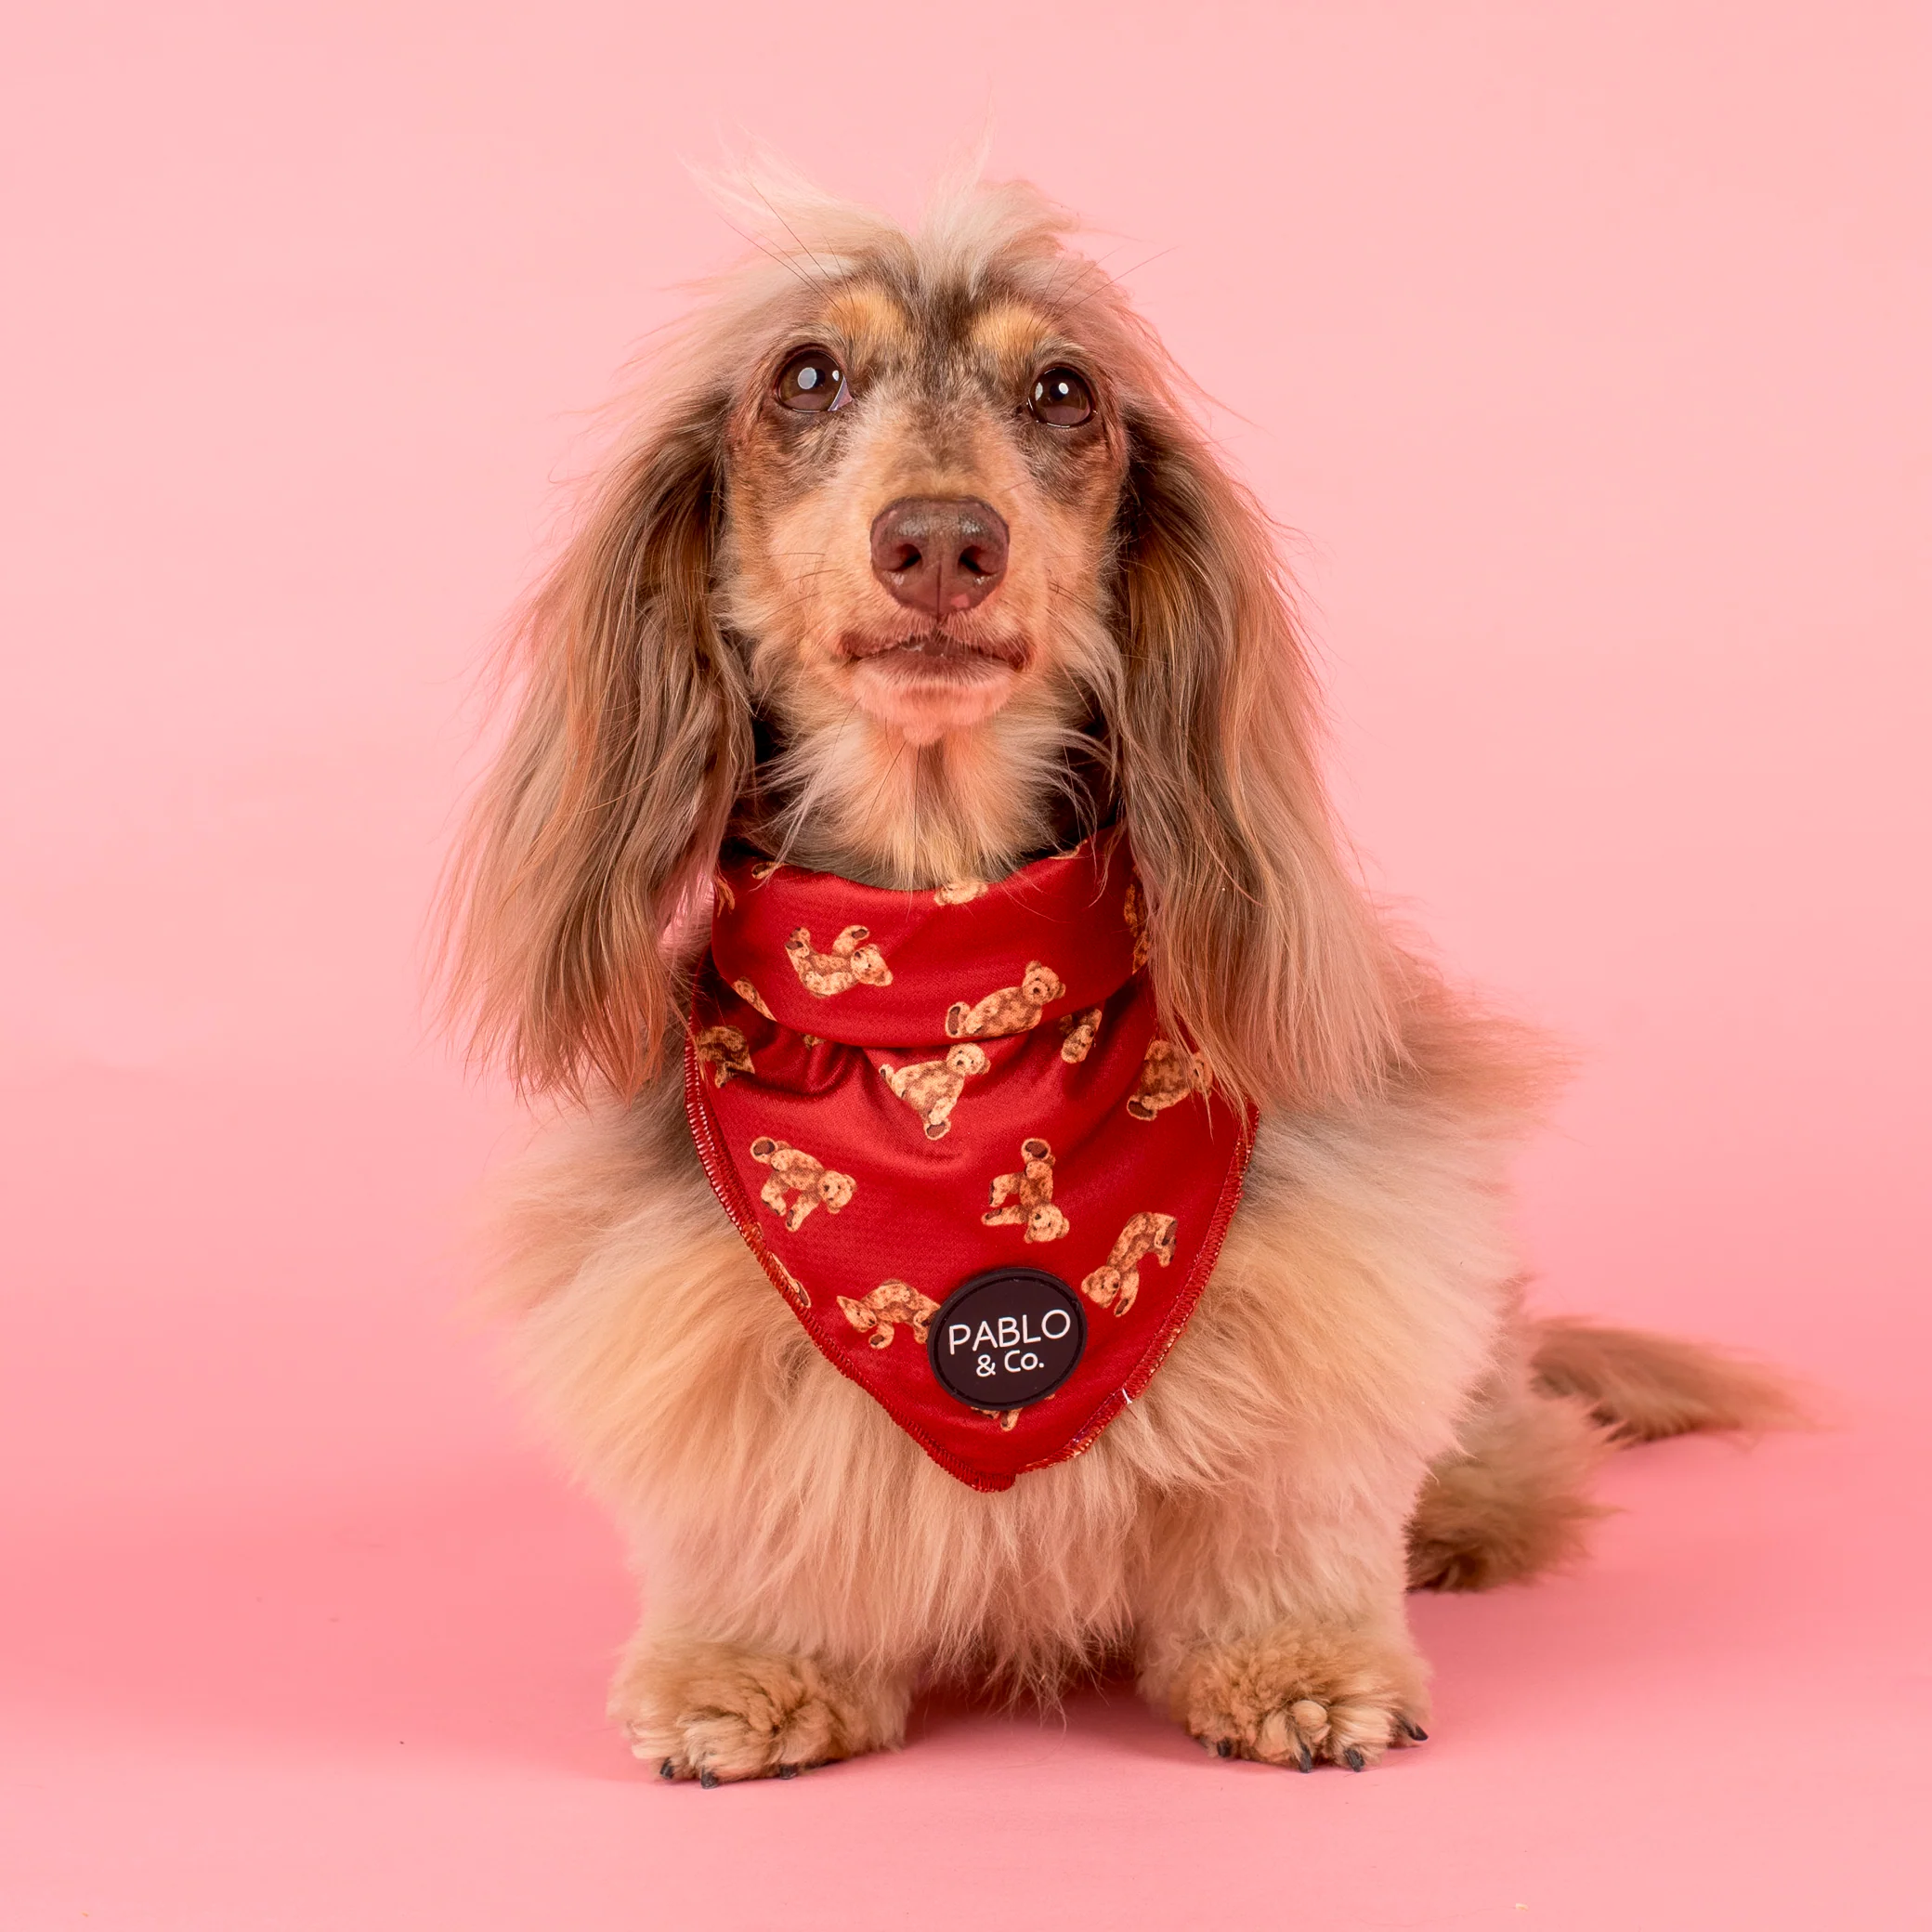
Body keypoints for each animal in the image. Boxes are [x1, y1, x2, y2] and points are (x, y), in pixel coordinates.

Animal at [944, 960, 1065, 1039]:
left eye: (1048, 988)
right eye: (1037, 978)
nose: (1037, 989)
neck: (1026, 1001)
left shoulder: (1034, 1018)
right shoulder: (1004, 995)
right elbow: (988, 1005)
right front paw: (973, 1024)